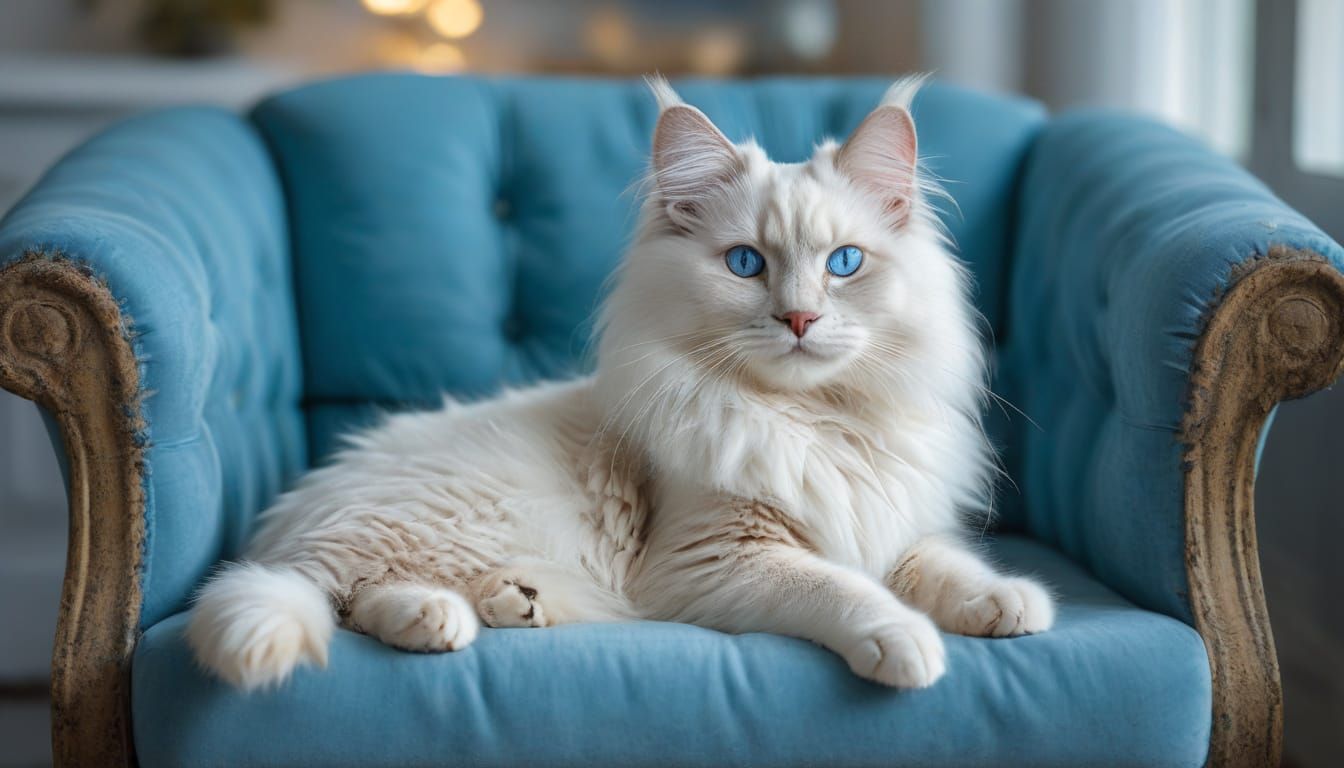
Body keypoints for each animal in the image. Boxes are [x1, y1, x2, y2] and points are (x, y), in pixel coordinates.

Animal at [189, 76, 1053, 688]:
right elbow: (843, 590)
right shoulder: (719, 558)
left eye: (845, 263)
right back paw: (445, 618)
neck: (811, 422)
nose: (801, 318)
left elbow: (941, 566)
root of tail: (287, 525)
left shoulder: (894, 523)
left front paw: (1008, 603)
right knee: (345, 593)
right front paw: (907, 642)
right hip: (454, 515)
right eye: (746, 263)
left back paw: (505, 606)